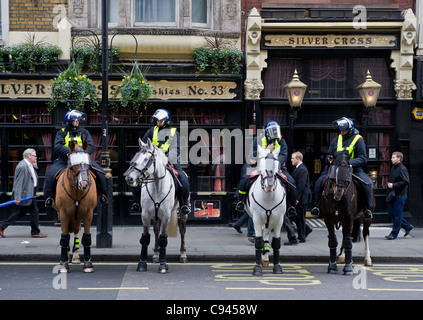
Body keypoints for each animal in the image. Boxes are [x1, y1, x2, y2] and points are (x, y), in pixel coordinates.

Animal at [54, 140, 97, 272]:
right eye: (74, 165)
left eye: (87, 165)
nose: (84, 184)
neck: (77, 191)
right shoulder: (63, 213)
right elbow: (64, 237)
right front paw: (63, 264)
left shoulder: (88, 213)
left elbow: (86, 237)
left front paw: (88, 264)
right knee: (67, 232)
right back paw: (66, 257)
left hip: (78, 215)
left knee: (76, 230)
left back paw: (76, 256)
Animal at [122, 138, 186, 272]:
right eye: (135, 155)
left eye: (146, 159)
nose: (129, 178)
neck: (157, 185)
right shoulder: (145, 215)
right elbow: (145, 239)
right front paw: (142, 263)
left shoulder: (166, 216)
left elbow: (163, 239)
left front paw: (163, 265)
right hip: (155, 215)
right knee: (156, 231)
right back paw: (156, 254)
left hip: (183, 213)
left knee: (182, 231)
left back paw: (183, 254)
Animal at [245, 145, 288, 276]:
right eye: (262, 165)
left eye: (276, 165)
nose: (269, 186)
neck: (268, 196)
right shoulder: (257, 219)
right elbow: (258, 242)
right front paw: (257, 268)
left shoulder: (279, 220)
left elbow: (276, 242)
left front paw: (277, 266)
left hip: (271, 220)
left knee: (267, 233)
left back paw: (265, 256)